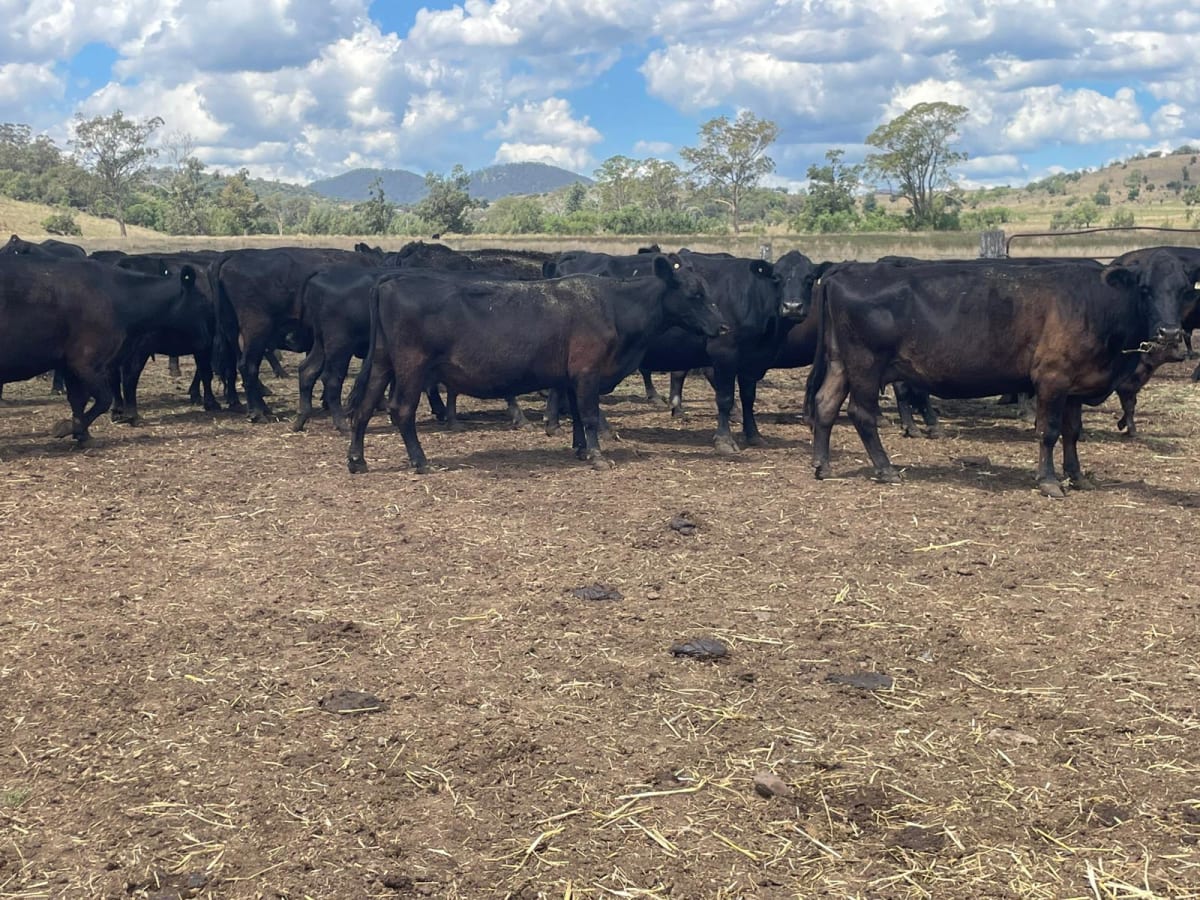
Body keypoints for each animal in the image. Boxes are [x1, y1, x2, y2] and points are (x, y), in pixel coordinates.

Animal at [0, 256, 203, 442]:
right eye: (202, 302)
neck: (118, 297)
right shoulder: (86, 362)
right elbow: (104, 398)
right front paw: (68, 428)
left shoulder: (70, 364)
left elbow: (78, 400)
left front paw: (82, 434)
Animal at [345, 256, 726, 474]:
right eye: (694, 295)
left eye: (708, 292)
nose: (723, 327)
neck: (614, 305)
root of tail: (391, 279)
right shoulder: (588, 373)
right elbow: (589, 415)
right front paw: (598, 456)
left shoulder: (572, 377)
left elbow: (576, 415)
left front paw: (580, 450)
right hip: (412, 366)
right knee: (401, 410)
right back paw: (421, 461)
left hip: (382, 363)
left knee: (363, 409)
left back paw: (357, 460)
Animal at [805, 252, 1192, 498]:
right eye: (1144, 288)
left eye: (1184, 289)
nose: (1170, 333)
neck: (1096, 303)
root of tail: (846, 270)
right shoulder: (1052, 379)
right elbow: (1049, 432)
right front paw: (1049, 481)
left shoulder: (1074, 386)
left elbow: (1072, 433)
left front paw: (1078, 476)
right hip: (866, 366)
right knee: (862, 414)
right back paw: (885, 469)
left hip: (841, 363)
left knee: (825, 405)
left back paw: (823, 465)